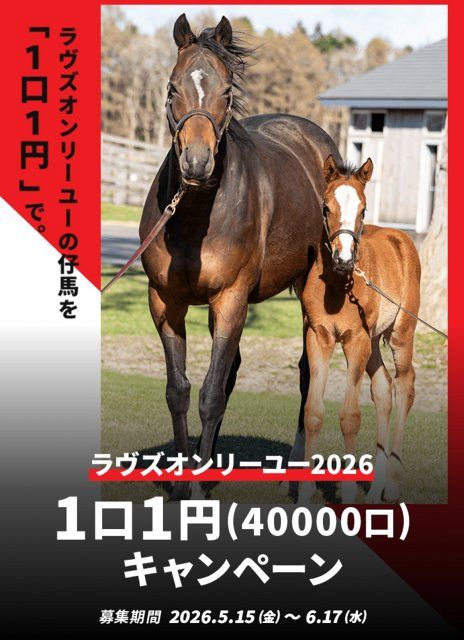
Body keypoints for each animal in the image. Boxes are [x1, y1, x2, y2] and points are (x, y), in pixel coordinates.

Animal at [139, 14, 341, 499]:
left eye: (227, 92)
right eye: (172, 87)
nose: (196, 163)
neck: (194, 218)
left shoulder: (231, 298)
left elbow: (211, 394)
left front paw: (196, 491)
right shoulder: (164, 302)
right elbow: (180, 390)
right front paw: (183, 483)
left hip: (308, 293)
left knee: (306, 374)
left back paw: (296, 477)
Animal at [298, 155, 421, 504]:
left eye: (364, 209)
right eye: (325, 206)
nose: (343, 258)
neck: (339, 285)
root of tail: (401, 238)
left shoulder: (356, 340)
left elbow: (350, 417)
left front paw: (350, 492)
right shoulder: (318, 336)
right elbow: (313, 412)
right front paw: (305, 494)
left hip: (400, 334)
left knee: (405, 386)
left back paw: (391, 484)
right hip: (375, 341)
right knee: (383, 389)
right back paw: (376, 486)